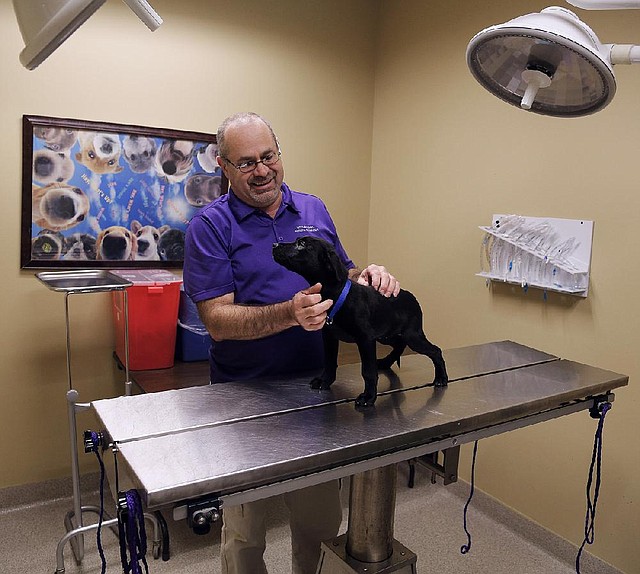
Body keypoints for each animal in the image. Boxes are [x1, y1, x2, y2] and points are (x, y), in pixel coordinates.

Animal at [272, 236, 448, 408]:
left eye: (301, 244)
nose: (274, 245)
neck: (337, 295)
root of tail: (412, 298)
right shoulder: (330, 336)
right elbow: (329, 361)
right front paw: (325, 381)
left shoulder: (365, 339)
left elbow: (368, 371)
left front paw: (368, 397)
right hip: (385, 335)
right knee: (399, 344)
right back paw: (385, 362)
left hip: (412, 336)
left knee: (435, 350)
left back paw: (441, 378)